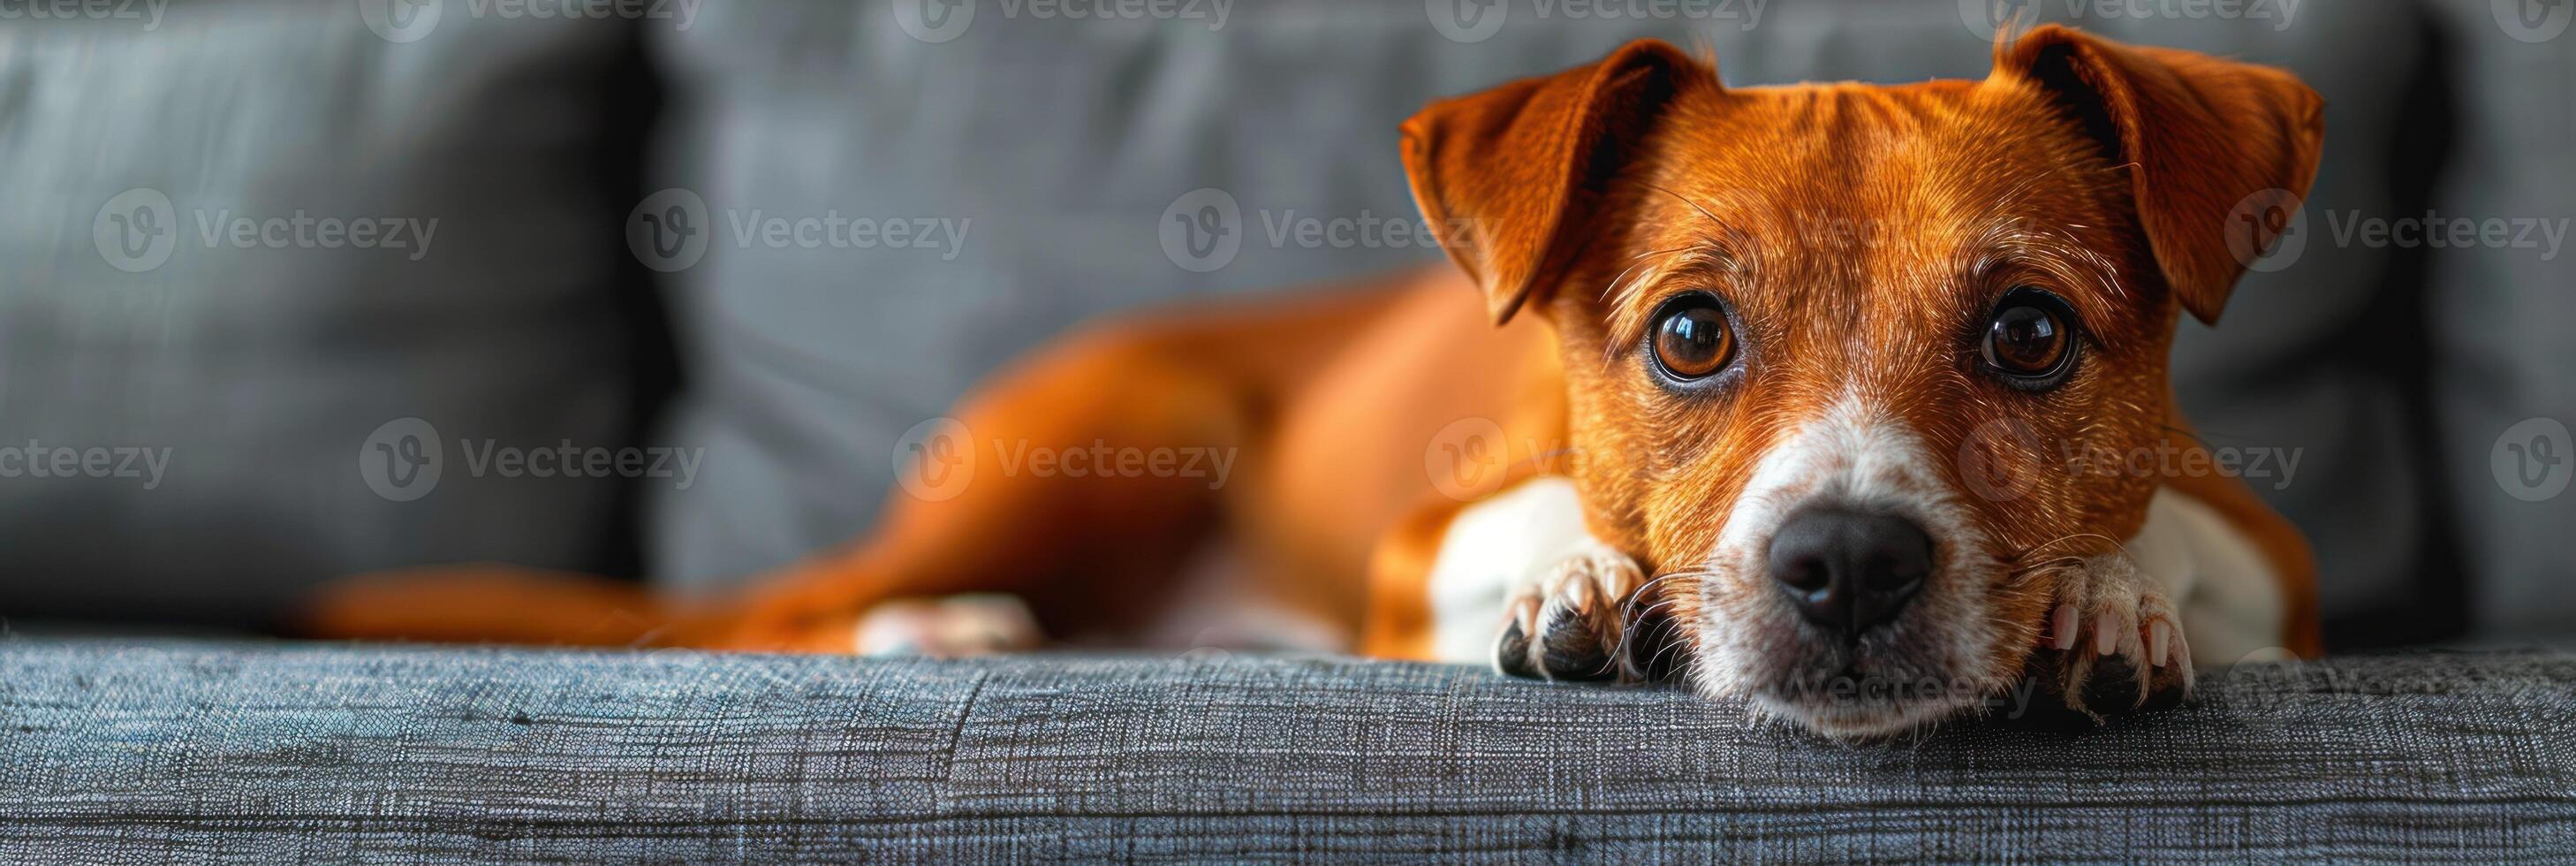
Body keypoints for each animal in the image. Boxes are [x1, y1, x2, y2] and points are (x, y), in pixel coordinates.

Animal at [311, 25, 2329, 737]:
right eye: (1689, 334)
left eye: (2029, 337)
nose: (1841, 565)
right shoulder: (1422, 534)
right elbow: (1523, 531)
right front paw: (1575, 581)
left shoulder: (2277, 554)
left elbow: (2179, 549)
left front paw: (2108, 598)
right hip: (1095, 456)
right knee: (797, 610)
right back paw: (931, 631)